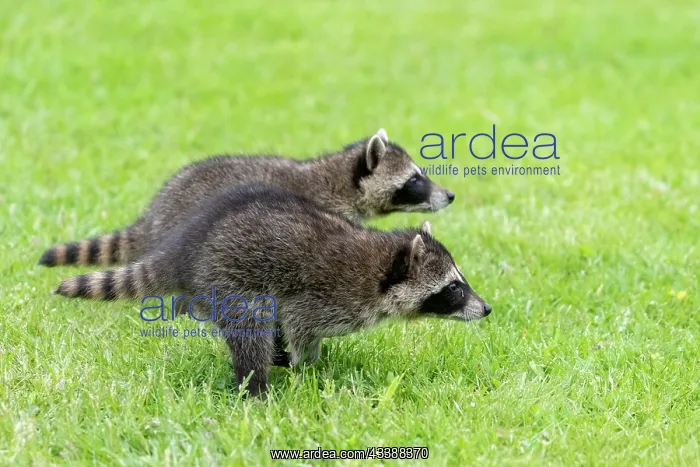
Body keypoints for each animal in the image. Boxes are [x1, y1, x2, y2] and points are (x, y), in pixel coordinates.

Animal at [54, 183, 491, 397]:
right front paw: (306, 366)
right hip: (230, 280)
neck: (379, 264)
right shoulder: (323, 295)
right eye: (453, 288)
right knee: (250, 331)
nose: (486, 308)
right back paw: (256, 387)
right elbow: (301, 328)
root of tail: (186, 247)